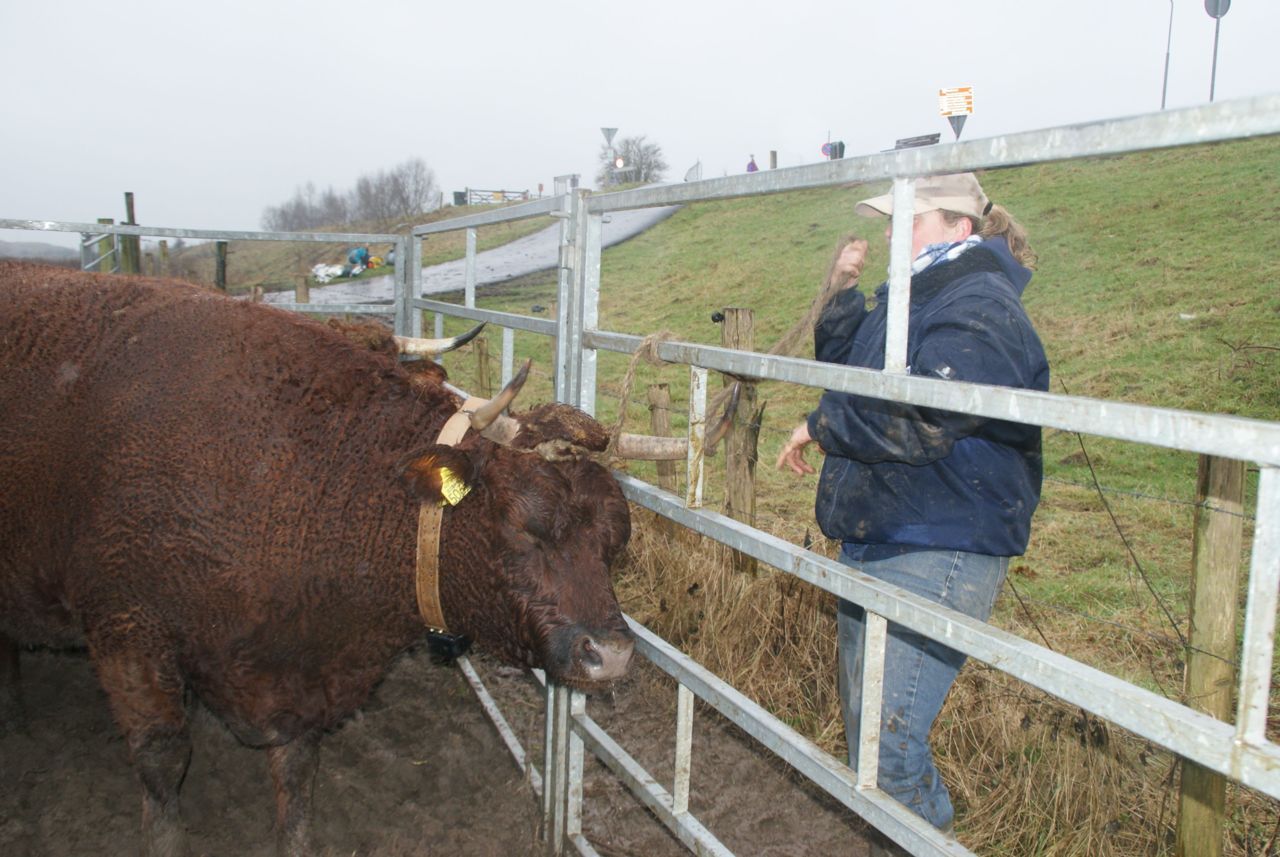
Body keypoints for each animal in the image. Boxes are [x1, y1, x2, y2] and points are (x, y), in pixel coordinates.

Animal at [0, 264, 634, 854]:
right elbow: (162, 762)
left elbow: (297, 773)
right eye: (523, 523)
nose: (613, 656)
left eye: (614, 540)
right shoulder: (127, 632)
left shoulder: (298, 675)